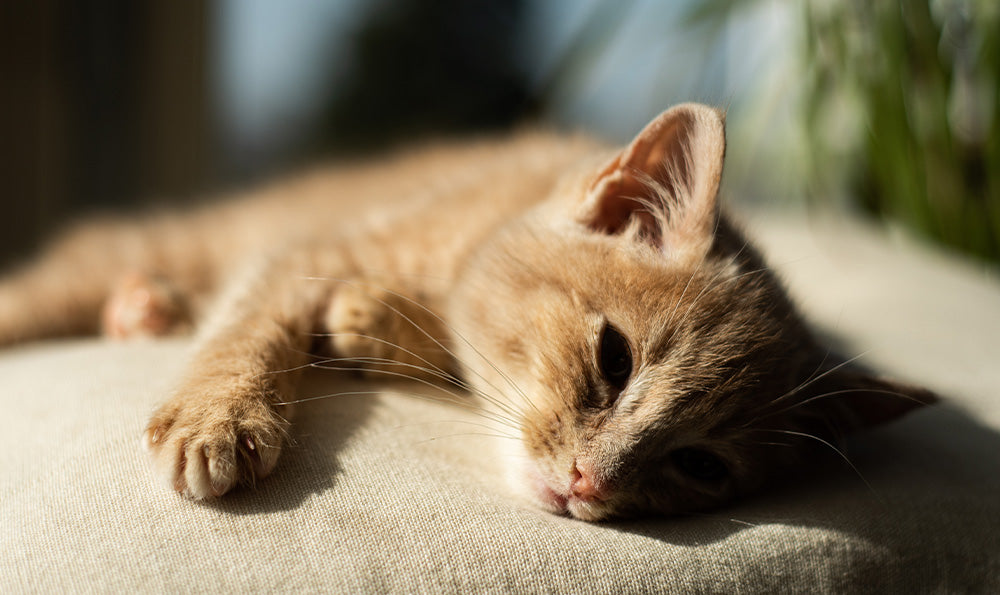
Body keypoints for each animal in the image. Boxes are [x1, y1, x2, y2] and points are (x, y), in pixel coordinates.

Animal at [0, 103, 936, 520]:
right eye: (615, 360)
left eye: (701, 466)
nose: (590, 483)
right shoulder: (305, 252)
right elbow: (250, 329)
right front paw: (218, 416)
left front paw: (375, 321)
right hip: (148, 246)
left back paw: (146, 309)